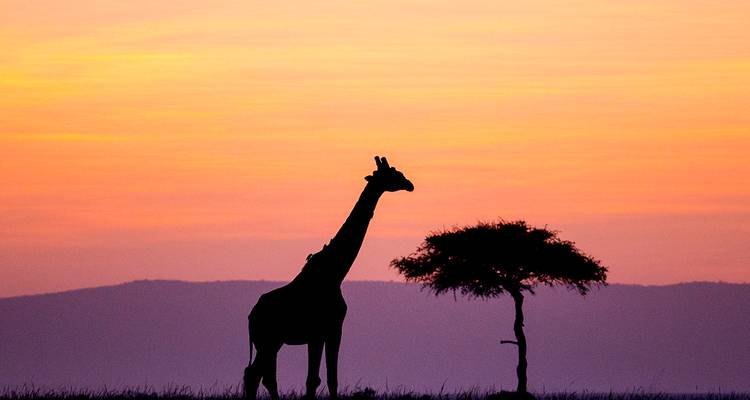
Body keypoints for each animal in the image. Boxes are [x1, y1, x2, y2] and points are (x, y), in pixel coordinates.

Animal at [243, 156, 414, 400]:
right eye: (392, 174)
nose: (409, 184)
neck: (334, 273)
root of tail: (251, 316)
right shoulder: (326, 330)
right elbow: (318, 379)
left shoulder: (327, 331)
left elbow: (327, 379)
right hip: (268, 340)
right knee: (256, 374)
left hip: (271, 342)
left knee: (260, 375)